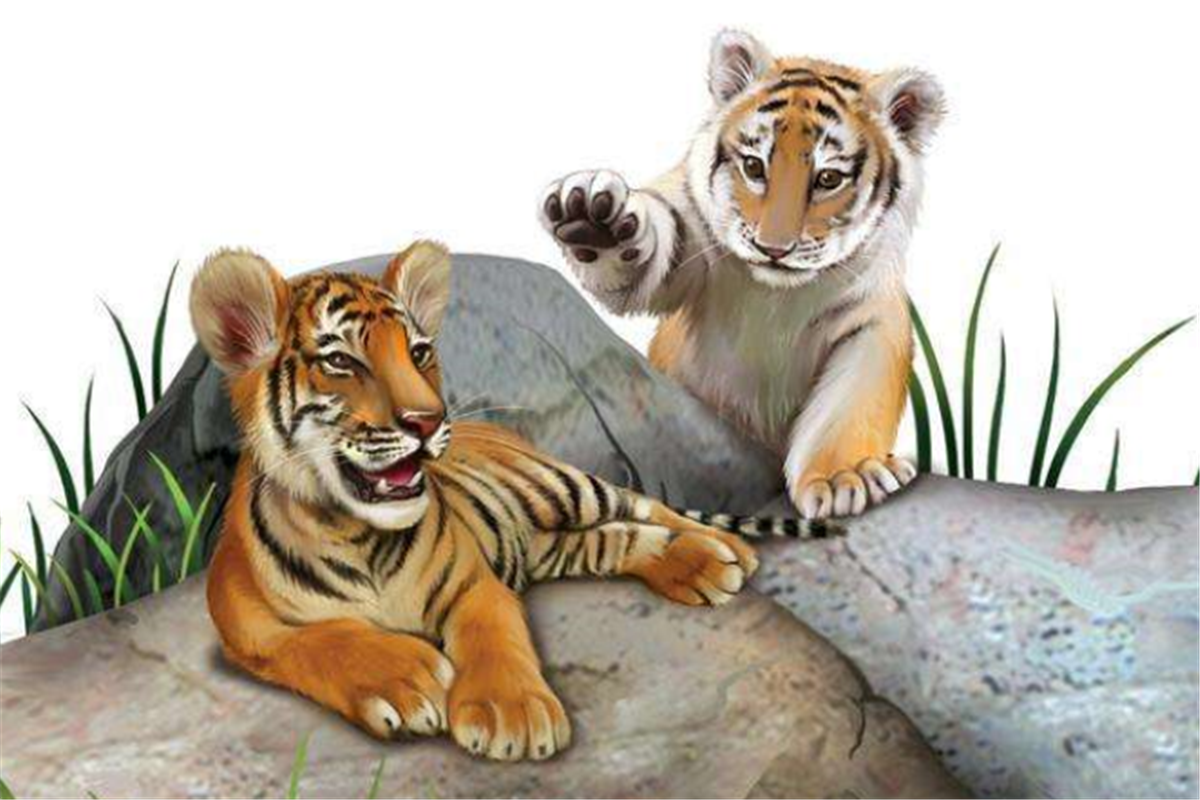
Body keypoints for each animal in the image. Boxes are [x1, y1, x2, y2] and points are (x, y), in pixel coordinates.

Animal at [191, 240, 834, 761]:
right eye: (341, 361)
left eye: (419, 352)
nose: (429, 421)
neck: (355, 534)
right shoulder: (246, 629)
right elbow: (321, 640)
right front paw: (406, 678)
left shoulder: (474, 585)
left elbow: (493, 635)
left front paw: (512, 714)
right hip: (555, 543)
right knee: (620, 540)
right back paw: (697, 565)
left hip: (565, 487)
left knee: (647, 507)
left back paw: (725, 550)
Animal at [539, 30, 943, 520]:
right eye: (754, 167)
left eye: (828, 179)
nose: (774, 248)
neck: (781, 297)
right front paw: (593, 219)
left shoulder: (870, 321)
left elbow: (850, 404)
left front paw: (845, 478)